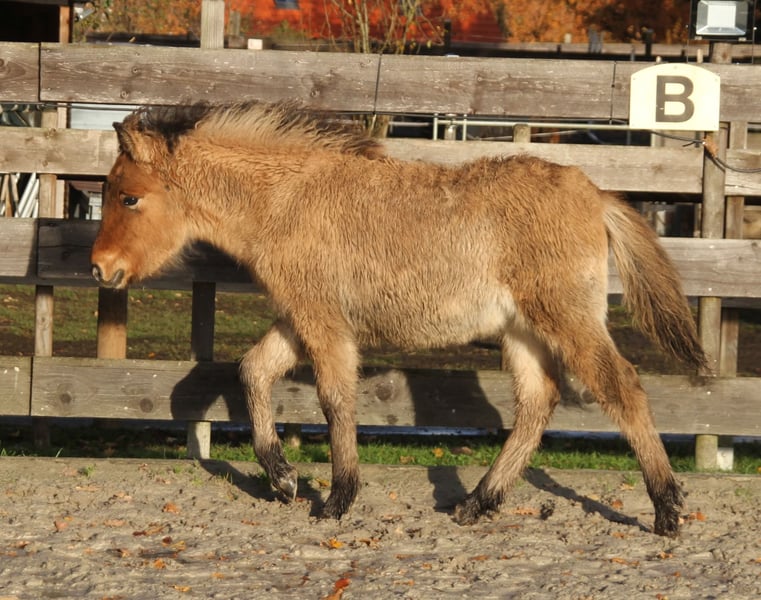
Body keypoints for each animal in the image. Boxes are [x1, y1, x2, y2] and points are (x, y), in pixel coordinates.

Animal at [91, 101, 706, 538]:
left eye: (129, 198)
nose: (101, 268)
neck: (285, 200)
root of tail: (596, 192)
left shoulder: (322, 322)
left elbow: (335, 398)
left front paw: (337, 499)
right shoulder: (302, 316)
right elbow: (252, 371)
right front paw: (284, 478)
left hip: (566, 318)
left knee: (622, 389)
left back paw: (667, 510)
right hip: (521, 331)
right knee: (538, 402)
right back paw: (476, 503)